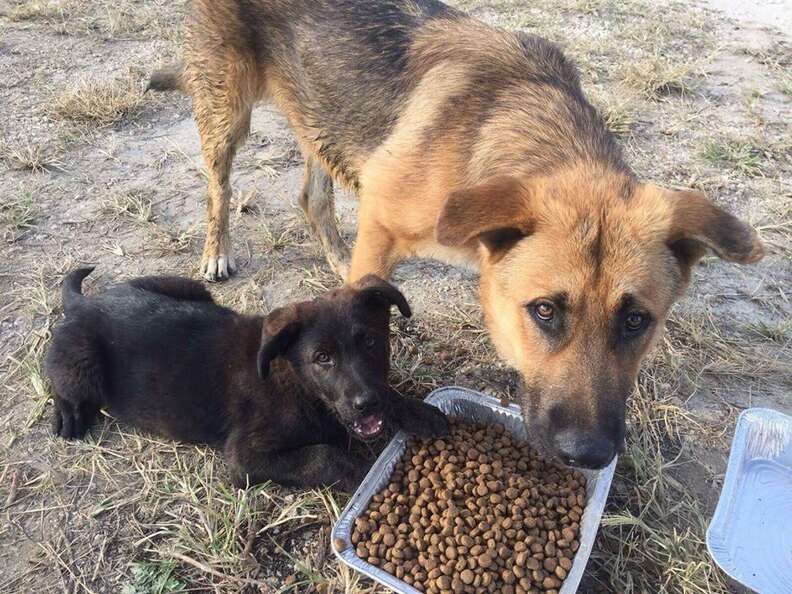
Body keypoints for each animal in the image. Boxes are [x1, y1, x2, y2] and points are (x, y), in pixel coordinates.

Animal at [46, 270, 448, 490]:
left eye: (370, 342)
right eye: (322, 358)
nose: (366, 403)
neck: (301, 387)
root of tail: (84, 303)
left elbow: (388, 392)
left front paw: (419, 412)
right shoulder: (245, 456)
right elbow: (324, 456)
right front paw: (369, 476)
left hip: (192, 288)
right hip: (81, 365)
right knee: (61, 382)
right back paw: (68, 417)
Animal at [148, 0, 760, 470]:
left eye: (637, 321)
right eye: (544, 311)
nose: (588, 456)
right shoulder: (381, 223)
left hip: (315, 113)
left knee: (312, 196)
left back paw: (335, 256)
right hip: (228, 112)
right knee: (219, 189)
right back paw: (217, 251)